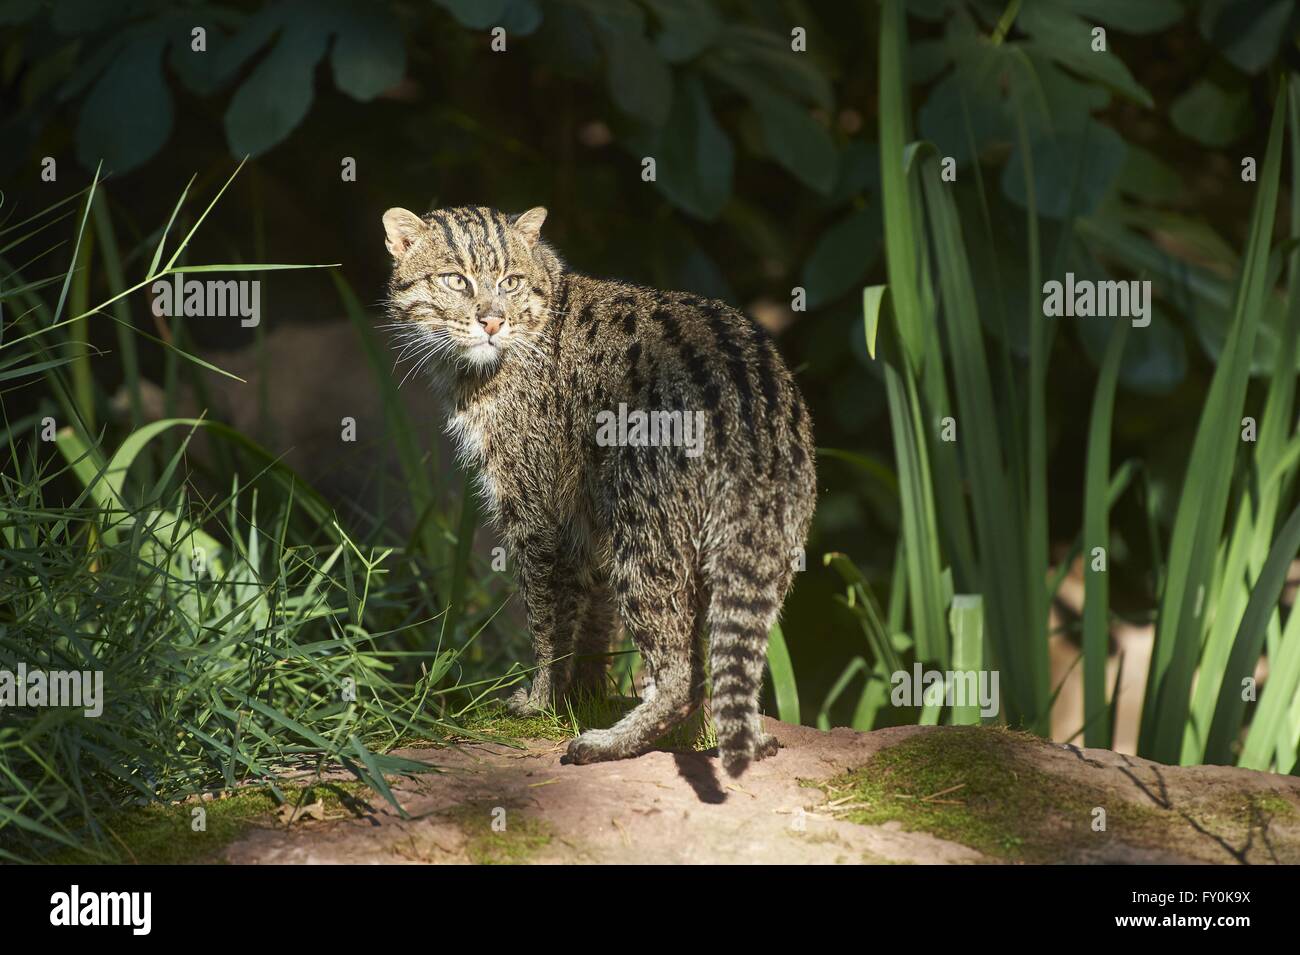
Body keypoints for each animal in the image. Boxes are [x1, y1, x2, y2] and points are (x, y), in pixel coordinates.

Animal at [379, 203, 816, 779]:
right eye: (456, 280)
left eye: (510, 281)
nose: (491, 321)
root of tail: (749, 416)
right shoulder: (586, 521)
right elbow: (593, 621)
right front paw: (585, 694)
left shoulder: (537, 512)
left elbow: (548, 616)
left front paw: (542, 700)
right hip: (764, 546)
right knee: (728, 656)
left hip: (645, 529)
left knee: (682, 675)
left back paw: (610, 742)